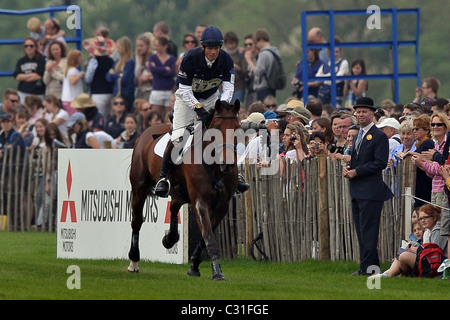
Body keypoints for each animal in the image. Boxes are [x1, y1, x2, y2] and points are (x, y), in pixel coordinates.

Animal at [126, 99, 241, 280]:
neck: (214, 165)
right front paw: (217, 272)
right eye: (217, 127)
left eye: (237, 127)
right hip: (139, 188)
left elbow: (204, 238)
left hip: (178, 193)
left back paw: (170, 238)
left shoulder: (222, 206)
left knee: (173, 208)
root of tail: (145, 132)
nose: (227, 164)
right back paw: (134, 261)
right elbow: (209, 238)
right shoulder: (200, 201)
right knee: (137, 220)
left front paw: (194, 266)